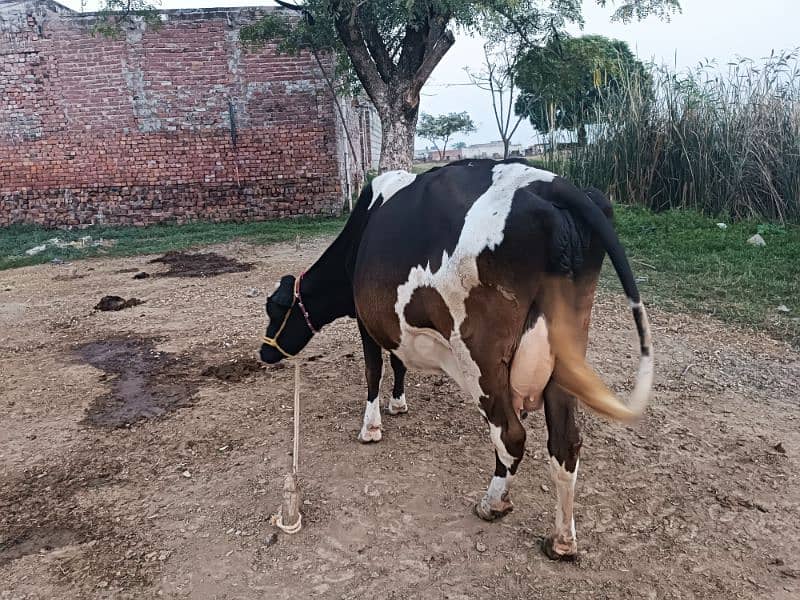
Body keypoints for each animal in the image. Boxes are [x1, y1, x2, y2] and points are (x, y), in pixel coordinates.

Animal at [260, 159, 652, 564]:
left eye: (273, 308)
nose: (265, 352)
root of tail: (550, 184)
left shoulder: (367, 319)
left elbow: (374, 370)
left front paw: (371, 427)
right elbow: (398, 362)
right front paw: (398, 403)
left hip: (480, 356)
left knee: (510, 434)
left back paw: (492, 504)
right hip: (565, 354)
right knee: (565, 443)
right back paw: (561, 540)